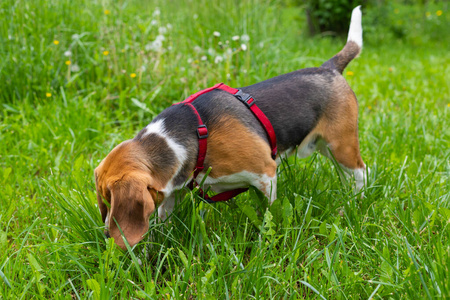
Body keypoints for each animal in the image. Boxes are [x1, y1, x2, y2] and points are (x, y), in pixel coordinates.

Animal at [94, 7, 366, 251]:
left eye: (109, 199)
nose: (107, 235)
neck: (185, 137)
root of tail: (328, 68)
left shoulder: (266, 174)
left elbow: (268, 212)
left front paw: (266, 242)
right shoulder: (173, 191)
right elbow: (164, 217)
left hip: (342, 145)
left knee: (362, 172)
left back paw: (356, 203)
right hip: (326, 148)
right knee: (345, 174)